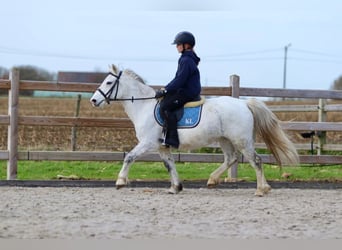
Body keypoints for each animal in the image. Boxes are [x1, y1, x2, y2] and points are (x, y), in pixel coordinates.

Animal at [91, 65, 300, 196]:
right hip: (224, 139)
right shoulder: (162, 147)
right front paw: (176, 187)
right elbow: (170, 165)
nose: (93, 100)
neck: (144, 106)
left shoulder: (147, 143)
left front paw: (120, 181)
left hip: (242, 140)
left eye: (108, 83)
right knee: (231, 158)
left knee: (255, 160)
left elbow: (129, 157)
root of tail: (244, 103)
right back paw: (213, 180)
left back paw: (261, 189)